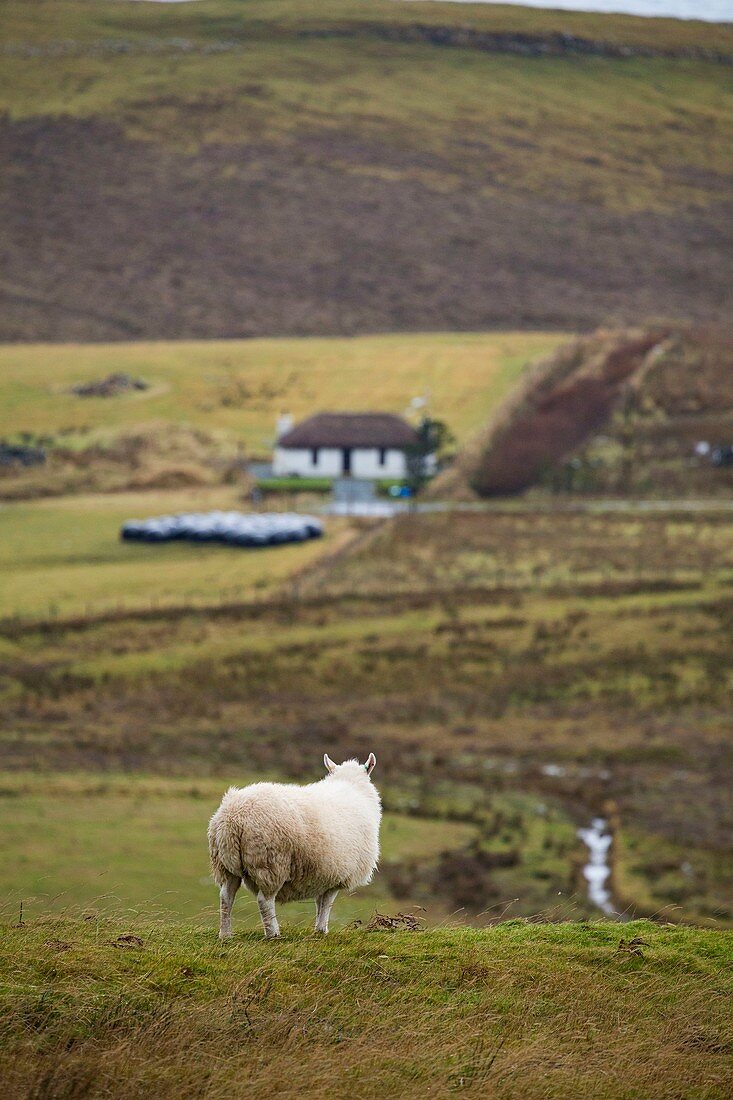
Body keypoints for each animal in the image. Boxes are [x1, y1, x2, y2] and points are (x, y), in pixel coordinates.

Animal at [205, 756, 376, 937]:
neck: (352, 787)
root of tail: (233, 818)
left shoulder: (323, 874)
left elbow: (319, 903)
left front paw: (318, 929)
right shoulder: (336, 875)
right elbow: (326, 904)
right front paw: (322, 930)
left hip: (224, 863)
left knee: (226, 896)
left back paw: (225, 934)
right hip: (270, 863)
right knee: (264, 901)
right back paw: (273, 934)